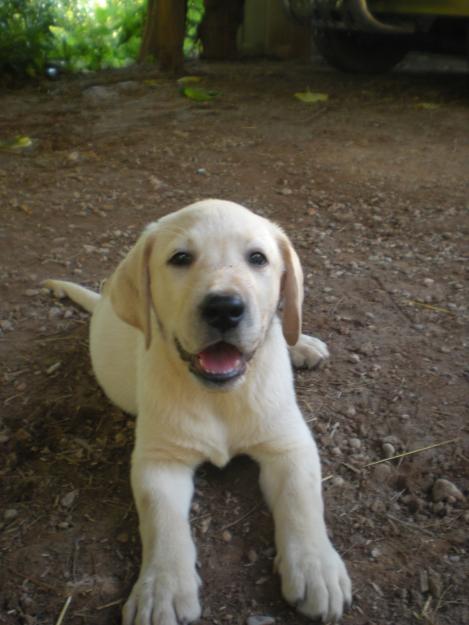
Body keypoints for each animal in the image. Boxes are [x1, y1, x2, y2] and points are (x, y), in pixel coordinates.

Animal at [44, 200, 352, 624]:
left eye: (258, 258)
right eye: (180, 258)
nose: (224, 308)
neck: (220, 396)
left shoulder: (289, 443)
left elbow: (301, 498)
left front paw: (316, 567)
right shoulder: (159, 461)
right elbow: (161, 519)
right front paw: (162, 588)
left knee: (282, 325)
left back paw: (301, 344)